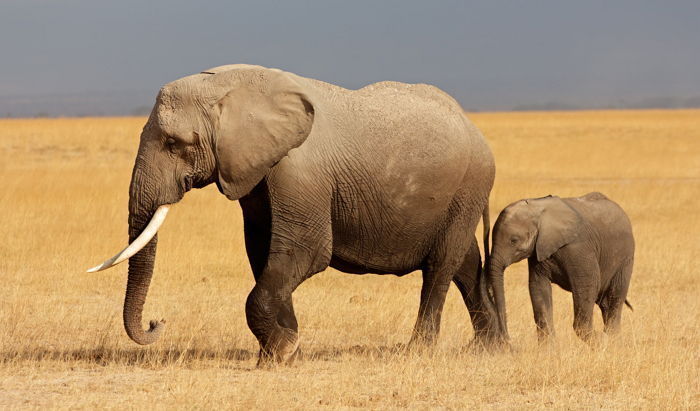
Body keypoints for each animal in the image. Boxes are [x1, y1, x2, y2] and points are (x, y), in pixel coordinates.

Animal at [90, 64, 500, 364]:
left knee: (440, 266)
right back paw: (490, 347)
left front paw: (281, 352)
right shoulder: (255, 172)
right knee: (466, 262)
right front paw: (284, 348)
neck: (231, 86)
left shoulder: (299, 171)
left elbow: (304, 252)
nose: (157, 322)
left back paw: (418, 351)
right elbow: (263, 254)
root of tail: (476, 129)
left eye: (175, 144)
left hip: (469, 185)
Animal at [486, 194, 636, 344]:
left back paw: (612, 339)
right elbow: (538, 288)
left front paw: (599, 341)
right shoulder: (538, 251)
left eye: (514, 240)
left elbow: (587, 285)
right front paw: (548, 347)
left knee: (615, 296)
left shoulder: (578, 247)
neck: (538, 208)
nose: (507, 339)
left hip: (626, 258)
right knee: (604, 302)